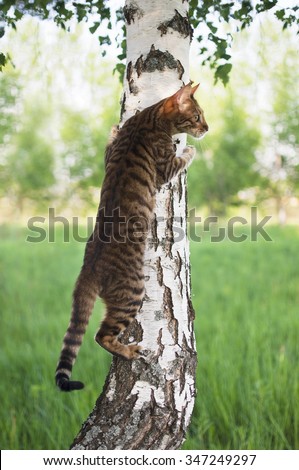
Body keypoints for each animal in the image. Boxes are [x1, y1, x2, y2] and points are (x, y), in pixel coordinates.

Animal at [55, 82, 209, 392]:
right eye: (197, 117)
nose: (208, 128)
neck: (148, 120)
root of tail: (88, 270)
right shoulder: (164, 168)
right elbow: (182, 159)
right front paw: (188, 148)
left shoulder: (109, 154)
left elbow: (109, 144)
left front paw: (113, 128)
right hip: (132, 293)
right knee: (100, 336)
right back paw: (129, 351)